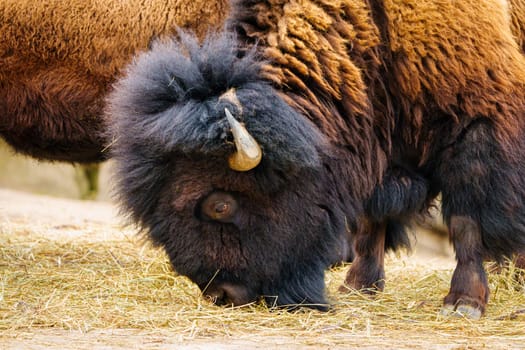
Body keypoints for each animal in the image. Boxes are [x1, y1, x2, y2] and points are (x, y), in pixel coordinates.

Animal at [107, 0, 525, 318]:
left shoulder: (476, 126)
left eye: (220, 205)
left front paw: (463, 303)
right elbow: (372, 219)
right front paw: (358, 286)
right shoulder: (376, 142)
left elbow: (465, 222)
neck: (369, 28)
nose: (222, 294)